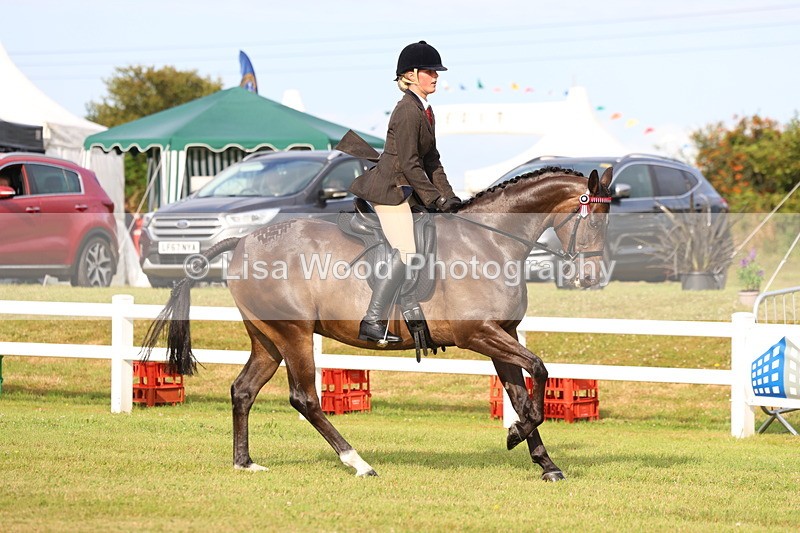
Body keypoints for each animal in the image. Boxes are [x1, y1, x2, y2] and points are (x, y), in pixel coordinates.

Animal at [143, 166, 613, 481]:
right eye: (592, 217)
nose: (591, 278)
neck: (490, 241)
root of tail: (243, 239)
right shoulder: (479, 333)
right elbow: (538, 371)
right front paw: (519, 435)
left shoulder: (503, 333)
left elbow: (519, 392)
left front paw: (543, 460)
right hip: (294, 334)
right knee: (305, 399)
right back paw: (358, 463)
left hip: (268, 339)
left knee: (243, 390)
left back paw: (245, 462)